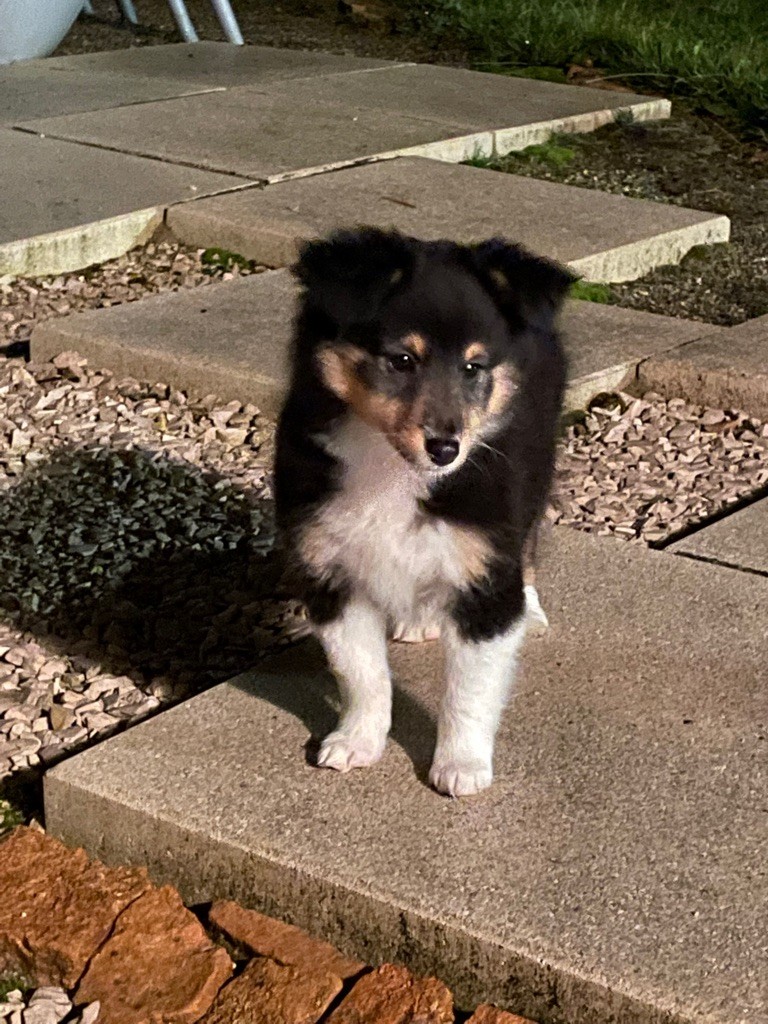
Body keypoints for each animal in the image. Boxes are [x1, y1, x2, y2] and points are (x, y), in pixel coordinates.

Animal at [274, 230, 573, 798]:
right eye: (402, 360)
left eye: (473, 367)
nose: (445, 450)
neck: (392, 469)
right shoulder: (330, 571)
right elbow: (361, 671)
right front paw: (357, 742)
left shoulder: (486, 578)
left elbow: (470, 688)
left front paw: (461, 767)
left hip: (538, 466)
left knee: (528, 544)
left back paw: (532, 608)